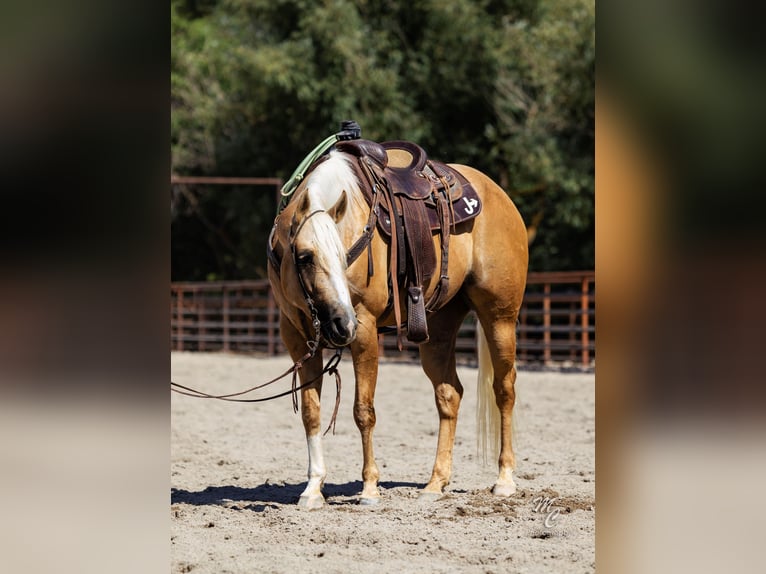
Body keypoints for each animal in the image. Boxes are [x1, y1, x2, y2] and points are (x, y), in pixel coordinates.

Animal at [267, 142, 528, 509]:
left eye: (344, 257)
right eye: (304, 257)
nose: (341, 322)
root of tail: (499, 196)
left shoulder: (363, 327)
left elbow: (363, 411)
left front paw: (369, 489)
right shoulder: (296, 335)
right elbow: (310, 412)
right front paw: (313, 488)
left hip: (500, 317)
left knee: (504, 390)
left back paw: (504, 480)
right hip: (438, 328)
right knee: (449, 394)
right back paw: (435, 483)